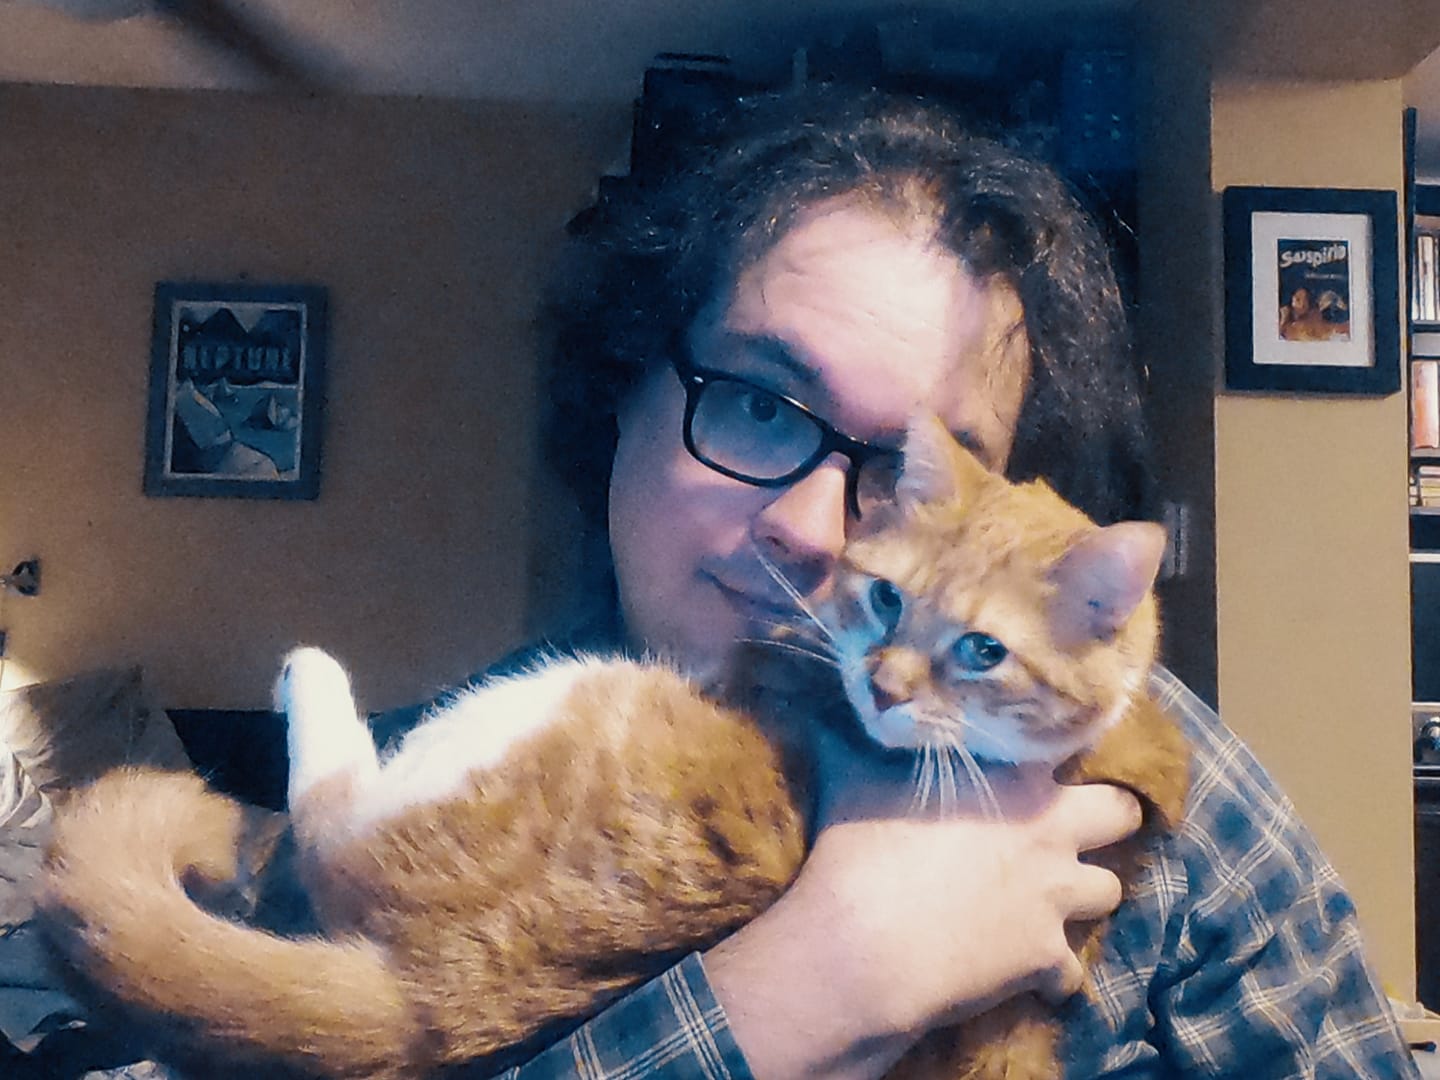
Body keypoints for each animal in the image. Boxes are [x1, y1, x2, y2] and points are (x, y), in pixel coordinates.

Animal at [39, 417, 1186, 1080]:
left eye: (982, 650)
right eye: (888, 598)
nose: (884, 684)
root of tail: (437, 1002)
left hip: (533, 705)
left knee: (321, 810)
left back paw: (308, 682)